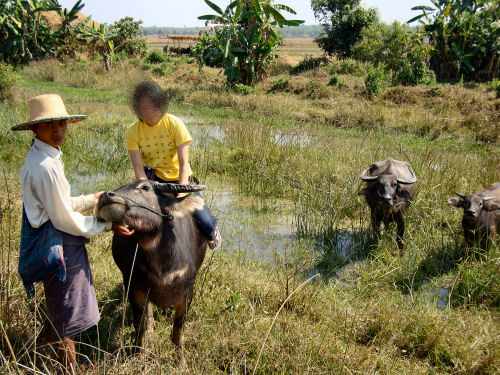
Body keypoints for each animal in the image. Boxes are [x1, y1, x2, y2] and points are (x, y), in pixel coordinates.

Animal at [94, 181, 208, 366]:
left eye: (145, 187)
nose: (105, 196)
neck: (162, 266)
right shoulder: (134, 288)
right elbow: (140, 325)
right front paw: (138, 354)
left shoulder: (187, 293)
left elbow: (178, 331)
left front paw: (181, 361)